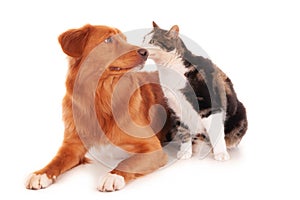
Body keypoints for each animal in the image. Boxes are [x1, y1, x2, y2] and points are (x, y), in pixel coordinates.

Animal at [25, 24, 173, 191]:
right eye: (108, 39)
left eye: (124, 39)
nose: (145, 52)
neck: (101, 96)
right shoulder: (72, 146)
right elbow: (56, 160)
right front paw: (41, 173)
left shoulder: (152, 147)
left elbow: (128, 162)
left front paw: (113, 176)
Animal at [143, 21, 248, 160]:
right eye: (143, 39)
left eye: (152, 41)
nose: (140, 48)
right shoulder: (177, 108)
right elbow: (184, 130)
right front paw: (185, 152)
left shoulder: (209, 105)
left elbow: (216, 130)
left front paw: (220, 153)